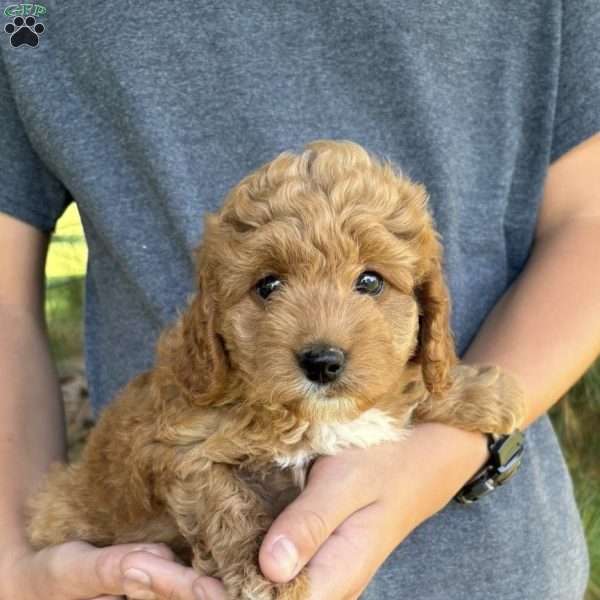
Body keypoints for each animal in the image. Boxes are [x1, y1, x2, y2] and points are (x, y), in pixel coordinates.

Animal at [28, 141, 524, 600]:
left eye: (370, 281)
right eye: (268, 285)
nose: (322, 362)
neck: (305, 414)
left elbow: (404, 384)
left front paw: (485, 391)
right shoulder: (174, 448)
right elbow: (224, 499)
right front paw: (261, 570)